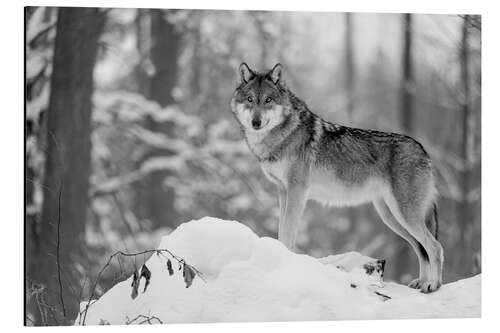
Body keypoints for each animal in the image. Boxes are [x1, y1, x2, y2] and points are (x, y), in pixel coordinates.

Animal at [230, 61, 446, 290]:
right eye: (250, 99)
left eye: (268, 100)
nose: (256, 122)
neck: (281, 136)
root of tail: (423, 150)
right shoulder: (283, 191)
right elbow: (281, 231)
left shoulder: (297, 192)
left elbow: (287, 233)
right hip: (392, 217)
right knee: (420, 248)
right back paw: (421, 282)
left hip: (404, 214)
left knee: (435, 247)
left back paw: (434, 285)